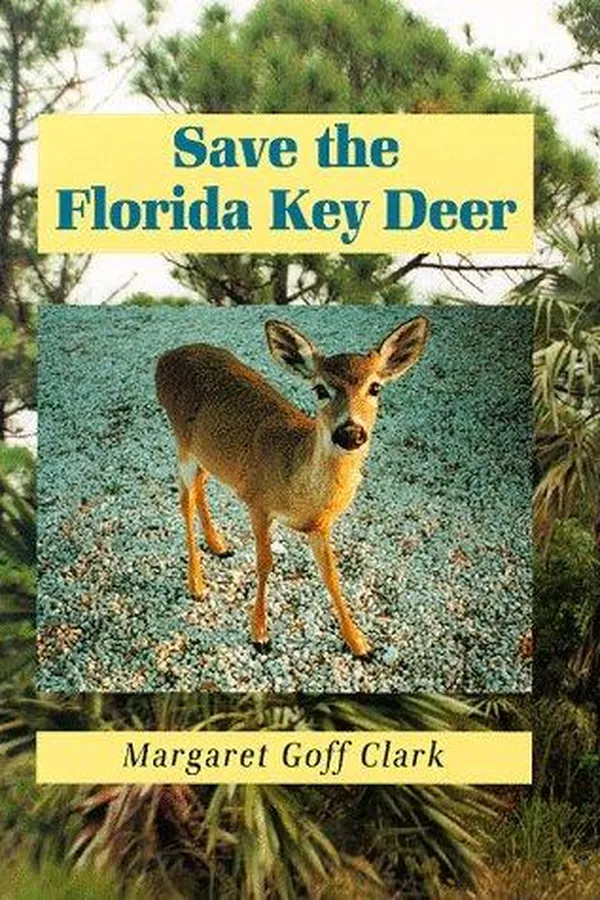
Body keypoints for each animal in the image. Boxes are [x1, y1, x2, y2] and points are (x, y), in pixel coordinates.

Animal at [155, 316, 430, 658]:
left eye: (375, 387)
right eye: (320, 389)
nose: (350, 432)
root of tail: (166, 357)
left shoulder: (320, 524)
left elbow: (332, 575)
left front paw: (359, 643)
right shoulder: (257, 501)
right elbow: (264, 564)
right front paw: (260, 635)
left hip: (207, 453)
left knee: (200, 487)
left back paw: (219, 546)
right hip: (181, 441)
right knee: (185, 500)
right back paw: (197, 585)